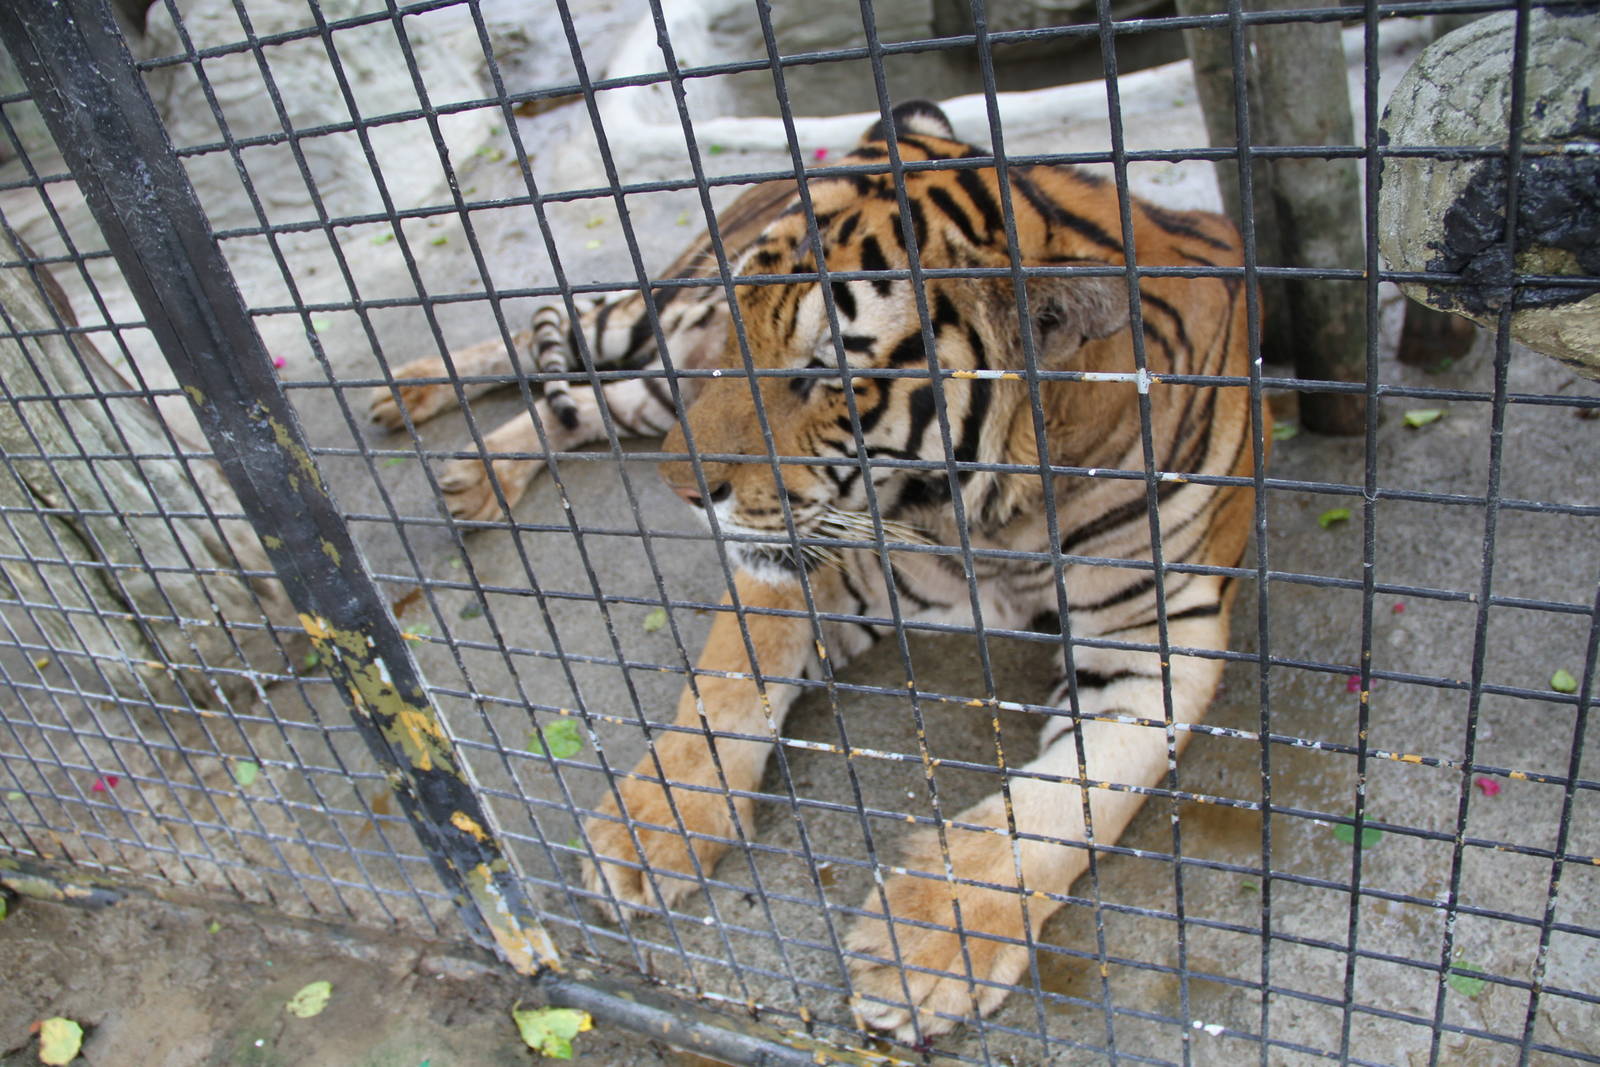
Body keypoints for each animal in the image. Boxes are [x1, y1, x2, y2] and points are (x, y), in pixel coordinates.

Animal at [369, 99, 1263, 1042]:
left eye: (827, 374)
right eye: (740, 324)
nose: (683, 489)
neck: (989, 518)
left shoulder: (1155, 647)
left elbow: (1062, 802)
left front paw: (927, 954)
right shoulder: (821, 560)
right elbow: (729, 685)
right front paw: (652, 827)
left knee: (582, 398)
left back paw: (468, 465)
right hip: (661, 342)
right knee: (552, 336)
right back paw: (421, 401)